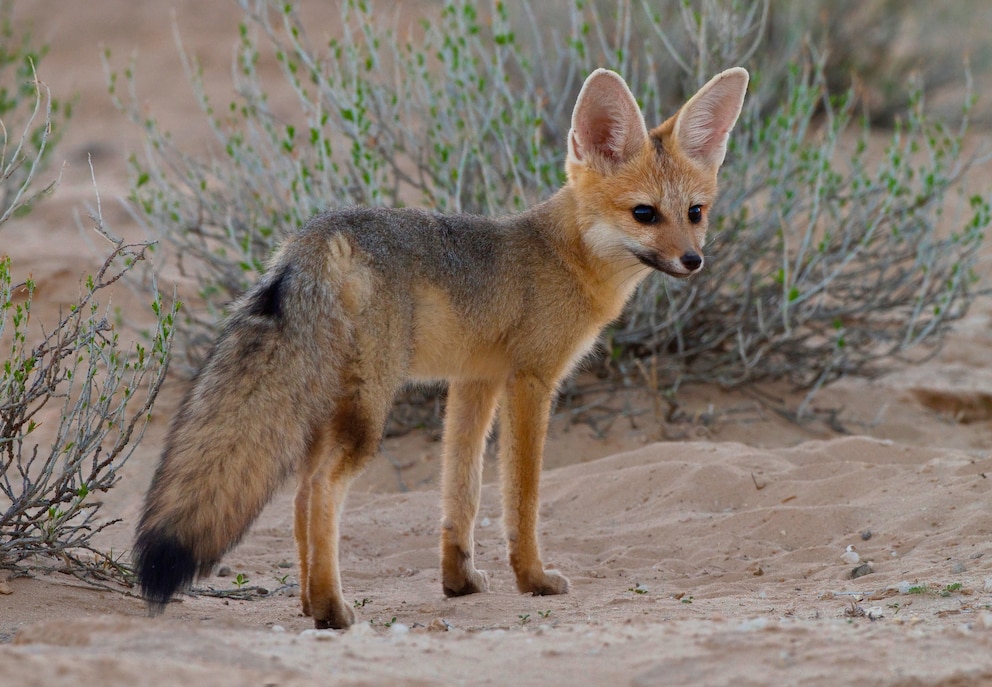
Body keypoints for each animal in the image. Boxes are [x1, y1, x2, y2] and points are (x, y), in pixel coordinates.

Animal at [136, 67, 748, 632]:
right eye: (645, 213)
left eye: (695, 213)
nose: (693, 261)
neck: (562, 256)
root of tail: (317, 234)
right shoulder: (531, 382)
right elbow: (521, 497)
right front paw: (532, 578)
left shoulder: (474, 382)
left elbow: (463, 489)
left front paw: (460, 580)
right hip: (369, 413)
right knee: (321, 490)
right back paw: (332, 609)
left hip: (332, 406)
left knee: (301, 495)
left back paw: (309, 600)